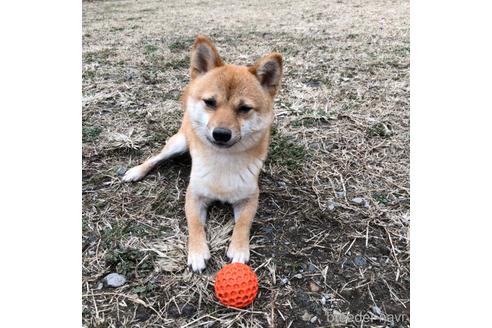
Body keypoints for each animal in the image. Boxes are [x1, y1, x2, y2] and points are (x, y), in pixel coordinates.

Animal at [122, 36, 282, 272]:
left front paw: (239, 248)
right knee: (154, 158)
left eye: (244, 108)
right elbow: (195, 224)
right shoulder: (194, 195)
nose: (221, 134)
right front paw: (197, 252)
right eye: (210, 102)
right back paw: (136, 171)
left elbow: (243, 224)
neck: (222, 161)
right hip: (178, 143)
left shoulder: (250, 197)